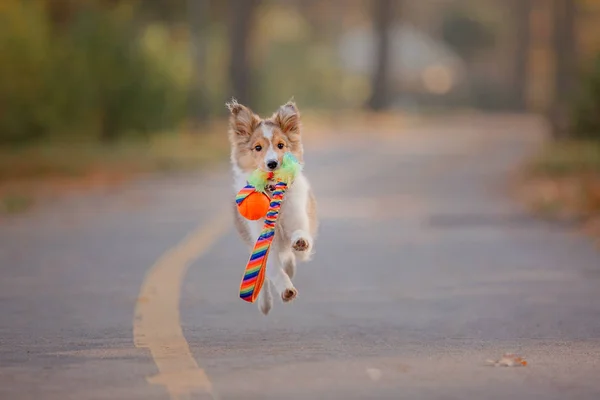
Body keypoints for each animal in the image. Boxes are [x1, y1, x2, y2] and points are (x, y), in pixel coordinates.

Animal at [226, 99, 318, 316]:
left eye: (281, 145)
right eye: (258, 147)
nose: (272, 163)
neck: (274, 193)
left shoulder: (299, 220)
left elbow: (301, 239)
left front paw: (300, 241)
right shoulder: (263, 241)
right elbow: (273, 271)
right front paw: (286, 290)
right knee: (264, 277)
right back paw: (265, 302)